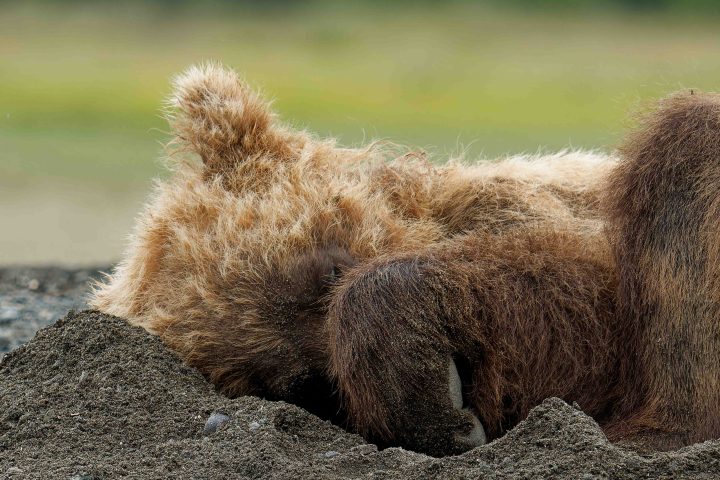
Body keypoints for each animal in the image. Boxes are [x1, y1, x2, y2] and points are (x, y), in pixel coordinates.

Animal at [90, 63, 720, 456]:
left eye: (329, 269)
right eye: (309, 388)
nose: (455, 381)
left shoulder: (553, 212)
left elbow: (579, 283)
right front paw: (447, 418)